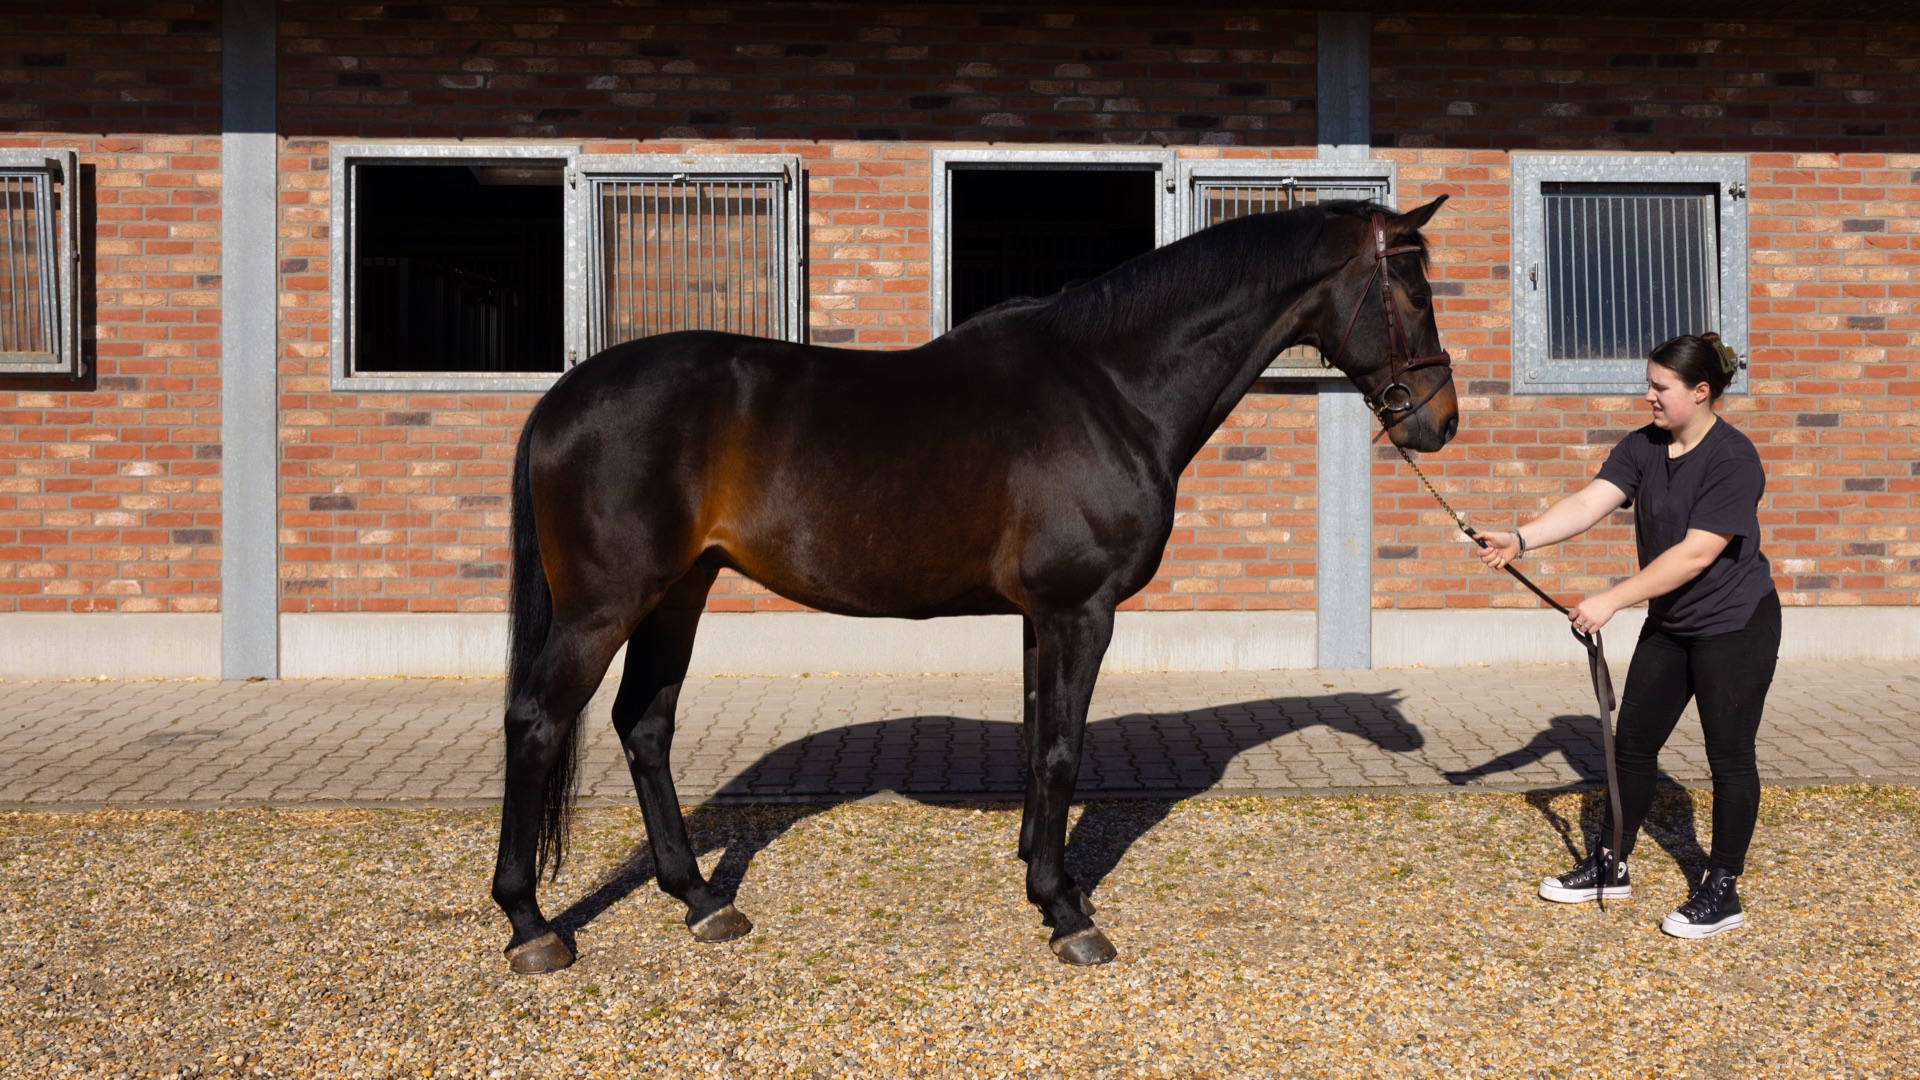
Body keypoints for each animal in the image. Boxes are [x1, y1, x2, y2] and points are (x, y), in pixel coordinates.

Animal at [492, 195, 1458, 973]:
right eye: (1415, 291)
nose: (1439, 422)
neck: (1112, 386)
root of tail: (562, 397)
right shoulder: (1080, 611)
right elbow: (1064, 749)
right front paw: (1067, 912)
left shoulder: (1041, 615)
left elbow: (1039, 742)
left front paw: (1042, 877)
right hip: (605, 605)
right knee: (538, 723)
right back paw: (532, 926)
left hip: (678, 593)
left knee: (643, 725)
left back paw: (700, 900)